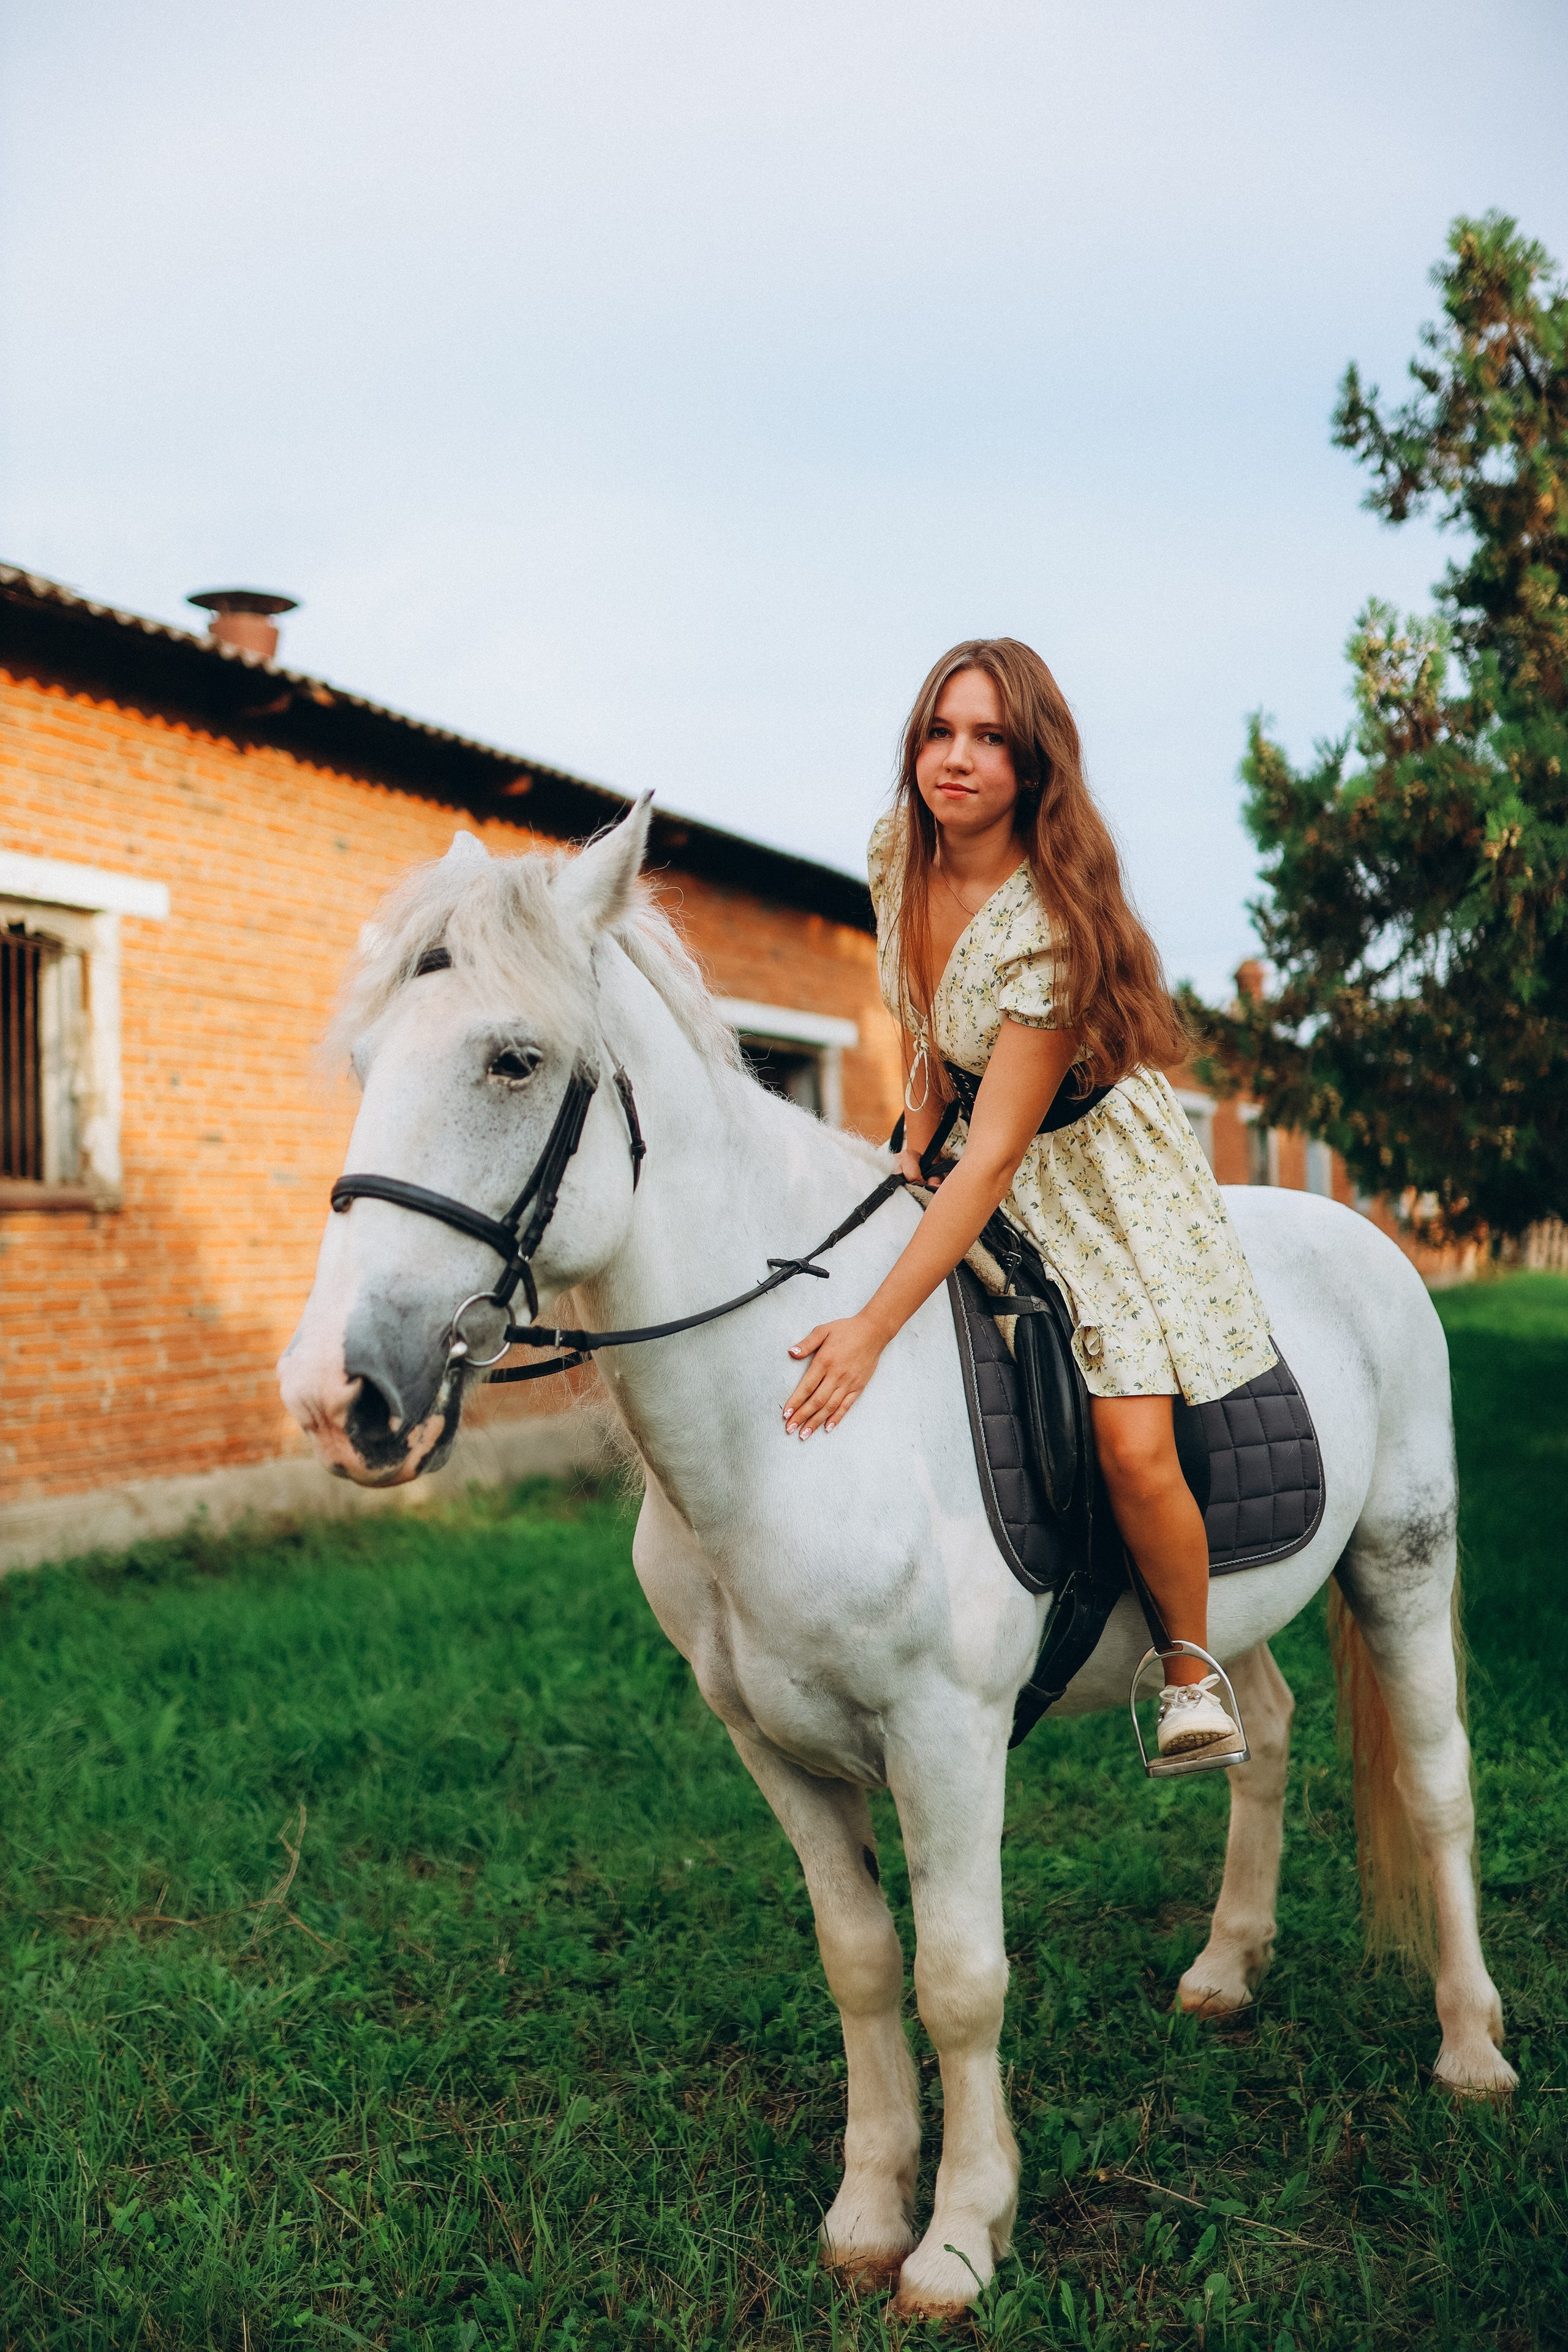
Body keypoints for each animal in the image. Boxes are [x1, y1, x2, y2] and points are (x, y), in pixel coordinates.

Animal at [280, 800, 1514, 2321]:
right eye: (361, 1062)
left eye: (513, 1060)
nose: (340, 1395)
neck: (783, 1414)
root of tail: (1362, 1237)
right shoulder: (771, 1746)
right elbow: (862, 1965)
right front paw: (868, 2210)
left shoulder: (945, 1735)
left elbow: (959, 1980)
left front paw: (959, 2237)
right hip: (1234, 1611)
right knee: (1261, 1732)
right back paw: (1227, 1965)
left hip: (1401, 1555)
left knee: (1437, 1786)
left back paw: (1469, 2049)